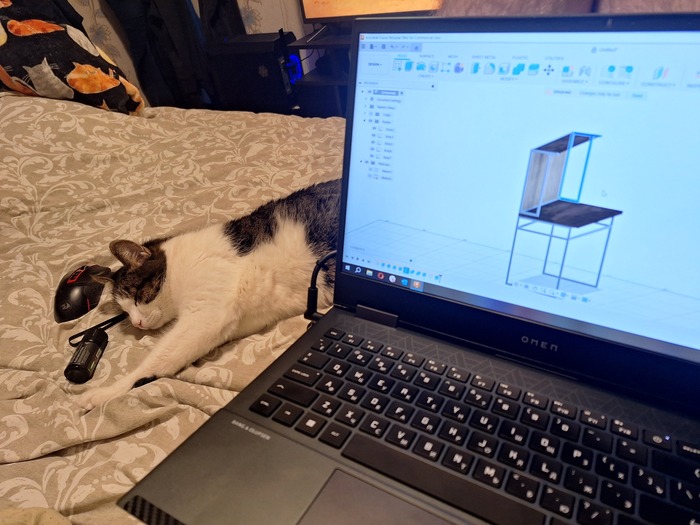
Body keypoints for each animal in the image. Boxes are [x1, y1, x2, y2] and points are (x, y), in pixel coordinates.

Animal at [78, 179, 340, 411]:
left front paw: (104, 393)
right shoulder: (230, 323)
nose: (137, 323)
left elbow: (156, 359)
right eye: (124, 312)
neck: (178, 267)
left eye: (137, 296)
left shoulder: (207, 314)